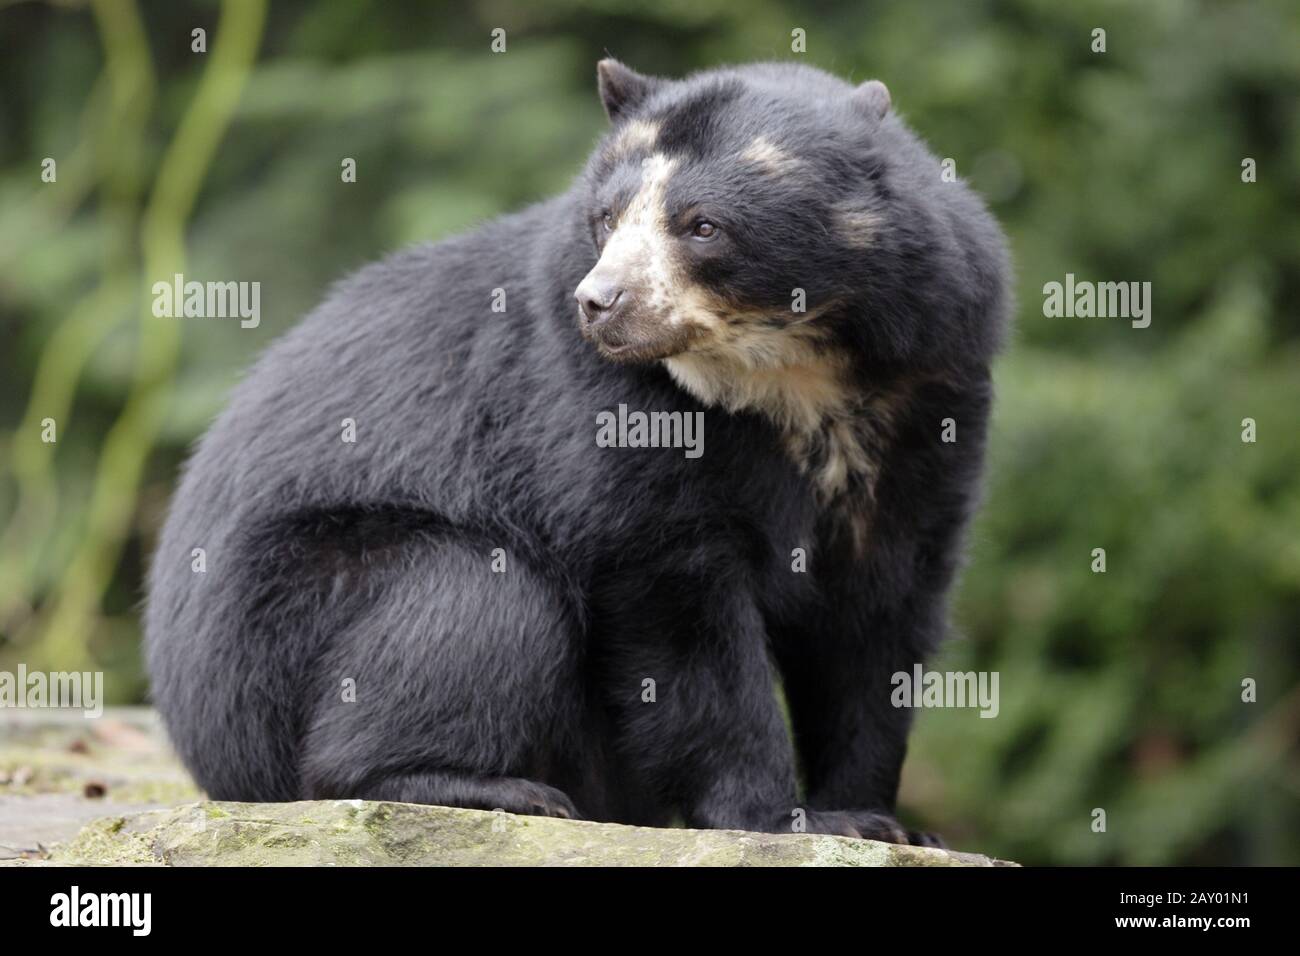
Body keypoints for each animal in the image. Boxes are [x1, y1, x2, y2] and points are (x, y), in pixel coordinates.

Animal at [145, 59, 1010, 845]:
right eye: (605, 218)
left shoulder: (930, 390)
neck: (786, 376)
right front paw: (778, 816)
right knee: (476, 599)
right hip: (281, 622)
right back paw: (488, 788)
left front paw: (883, 822)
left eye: (702, 224)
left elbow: (880, 614)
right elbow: (674, 603)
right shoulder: (600, 404)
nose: (599, 304)